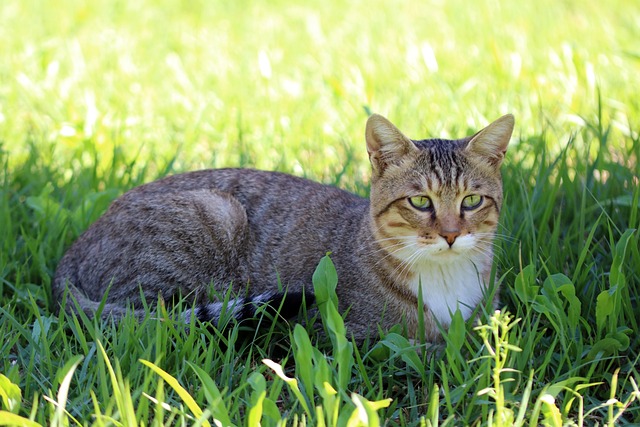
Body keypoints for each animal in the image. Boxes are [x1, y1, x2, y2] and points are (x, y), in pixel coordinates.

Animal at [55, 113, 516, 342]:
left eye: (471, 201)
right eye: (420, 202)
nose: (451, 235)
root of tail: (72, 250)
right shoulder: (349, 334)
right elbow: (438, 347)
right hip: (215, 215)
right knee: (153, 322)